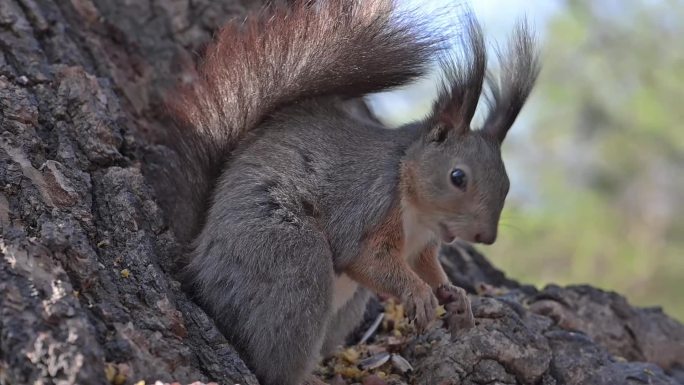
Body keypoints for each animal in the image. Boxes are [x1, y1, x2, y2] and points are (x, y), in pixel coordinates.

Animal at [166, 0, 540, 384]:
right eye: (458, 177)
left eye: (506, 183)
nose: (486, 237)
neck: (416, 209)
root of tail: (197, 255)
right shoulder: (370, 203)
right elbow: (365, 259)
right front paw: (420, 294)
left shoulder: (422, 247)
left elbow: (426, 267)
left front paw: (455, 296)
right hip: (289, 258)